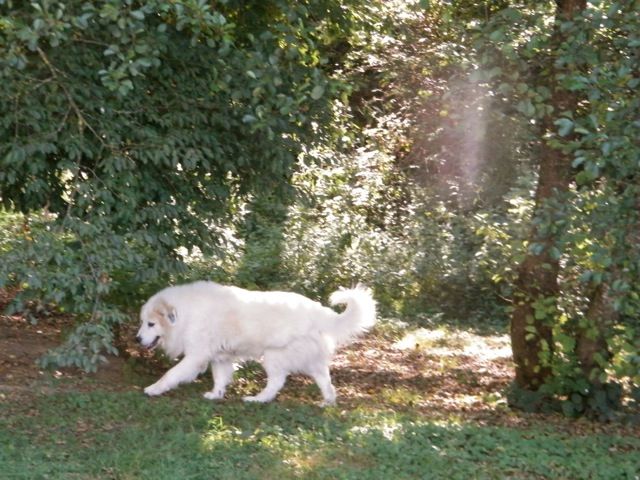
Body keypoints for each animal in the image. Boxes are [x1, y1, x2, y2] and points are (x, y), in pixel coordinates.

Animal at [135, 282, 376, 404]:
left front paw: (154, 388)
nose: (137, 339)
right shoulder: (220, 357)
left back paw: (258, 399)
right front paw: (216, 395)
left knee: (277, 381)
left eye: (151, 324)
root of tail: (319, 311)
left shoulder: (196, 356)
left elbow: (171, 374)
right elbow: (220, 378)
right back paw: (328, 401)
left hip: (273, 355)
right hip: (310, 358)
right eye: (142, 322)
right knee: (325, 379)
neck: (187, 313)